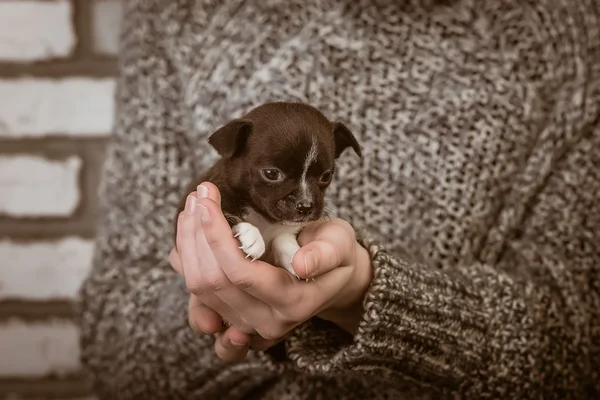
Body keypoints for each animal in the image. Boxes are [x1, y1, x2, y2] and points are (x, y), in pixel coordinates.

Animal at [173, 101, 360, 278]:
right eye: (271, 174)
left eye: (326, 176)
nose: (305, 206)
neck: (264, 217)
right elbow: (228, 214)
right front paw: (251, 234)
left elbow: (283, 237)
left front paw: (292, 254)